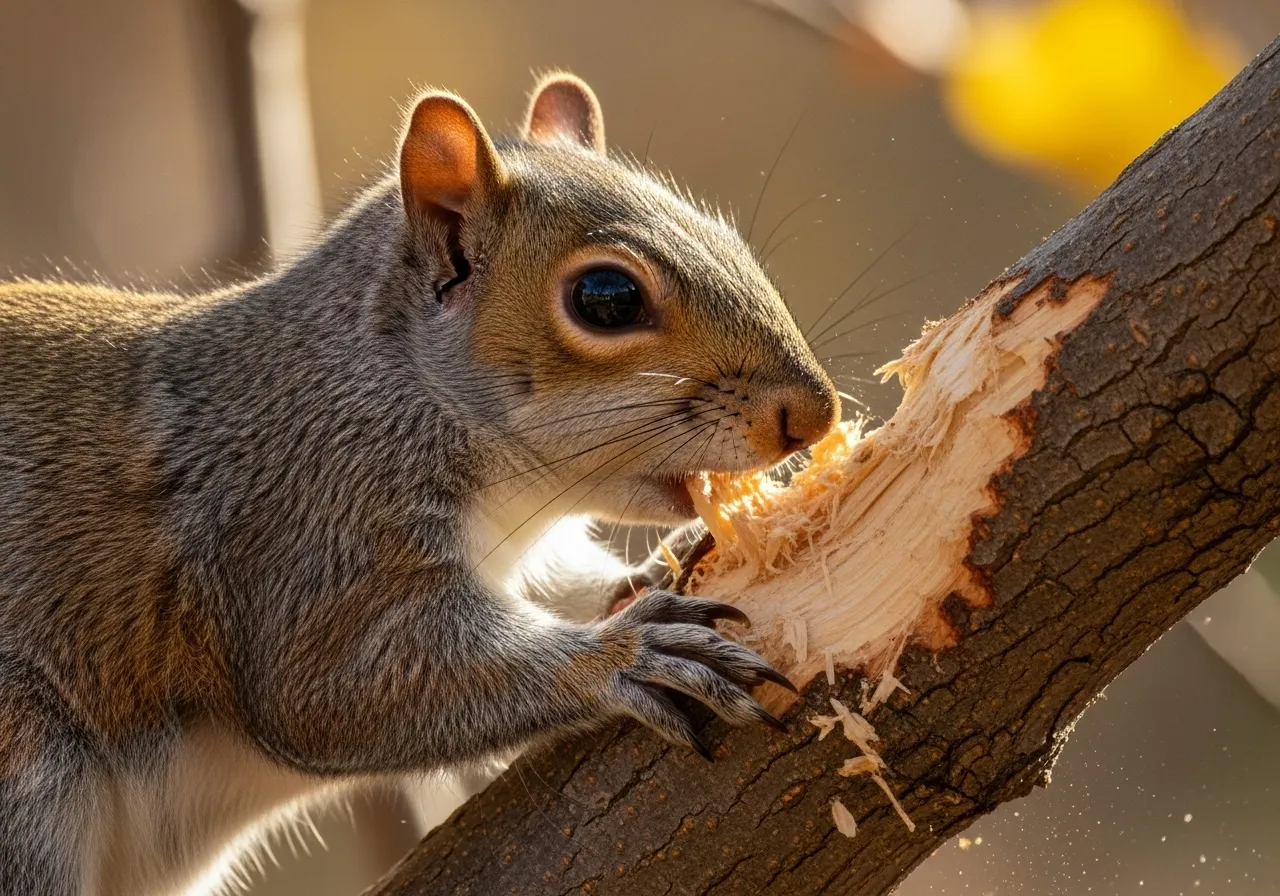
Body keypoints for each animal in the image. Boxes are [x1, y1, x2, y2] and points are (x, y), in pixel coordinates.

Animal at [0, 73, 839, 894]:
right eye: (607, 298)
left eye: (727, 238)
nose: (812, 415)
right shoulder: (308, 519)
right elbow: (332, 684)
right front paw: (623, 655)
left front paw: (655, 569)